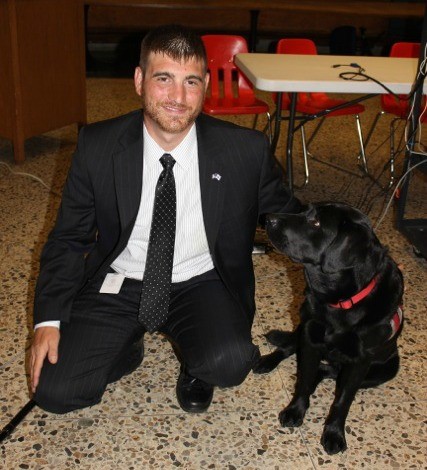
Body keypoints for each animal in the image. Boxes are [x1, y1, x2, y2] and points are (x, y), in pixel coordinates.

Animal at [254, 202, 404, 456]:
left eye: (316, 223)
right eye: (303, 211)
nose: (268, 218)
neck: (341, 302)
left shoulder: (360, 362)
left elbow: (343, 400)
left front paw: (334, 432)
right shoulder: (310, 338)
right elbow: (303, 380)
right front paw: (296, 410)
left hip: (386, 369)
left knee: (329, 372)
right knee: (292, 350)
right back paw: (267, 361)